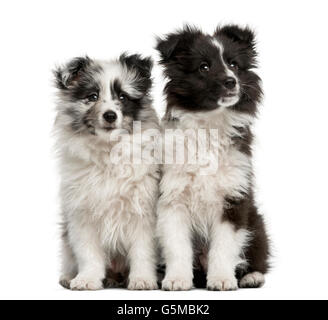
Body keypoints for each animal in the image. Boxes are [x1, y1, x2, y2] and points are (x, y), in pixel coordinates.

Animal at [53, 53, 160, 290]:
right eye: (92, 96)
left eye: (122, 96)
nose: (110, 115)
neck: (108, 151)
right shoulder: (82, 216)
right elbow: (88, 254)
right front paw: (87, 279)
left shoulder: (144, 213)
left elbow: (143, 252)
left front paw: (143, 279)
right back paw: (69, 276)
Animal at [156, 25, 270, 290]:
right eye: (204, 67)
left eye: (234, 64)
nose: (231, 81)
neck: (210, 124)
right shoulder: (172, 198)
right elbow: (177, 246)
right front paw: (177, 280)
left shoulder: (234, 200)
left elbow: (224, 246)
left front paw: (221, 279)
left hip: (257, 223)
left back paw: (252, 276)